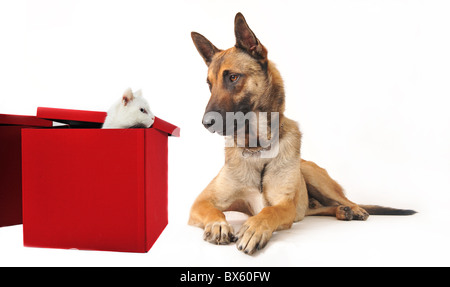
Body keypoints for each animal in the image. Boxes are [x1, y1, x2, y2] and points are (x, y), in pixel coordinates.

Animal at [188, 12, 416, 255]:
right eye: (209, 85)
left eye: (233, 77)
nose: (206, 123)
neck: (257, 148)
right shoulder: (202, 201)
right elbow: (214, 211)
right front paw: (218, 225)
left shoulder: (284, 205)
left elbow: (269, 211)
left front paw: (254, 229)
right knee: (318, 209)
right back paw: (341, 211)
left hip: (314, 176)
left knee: (343, 200)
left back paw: (353, 209)